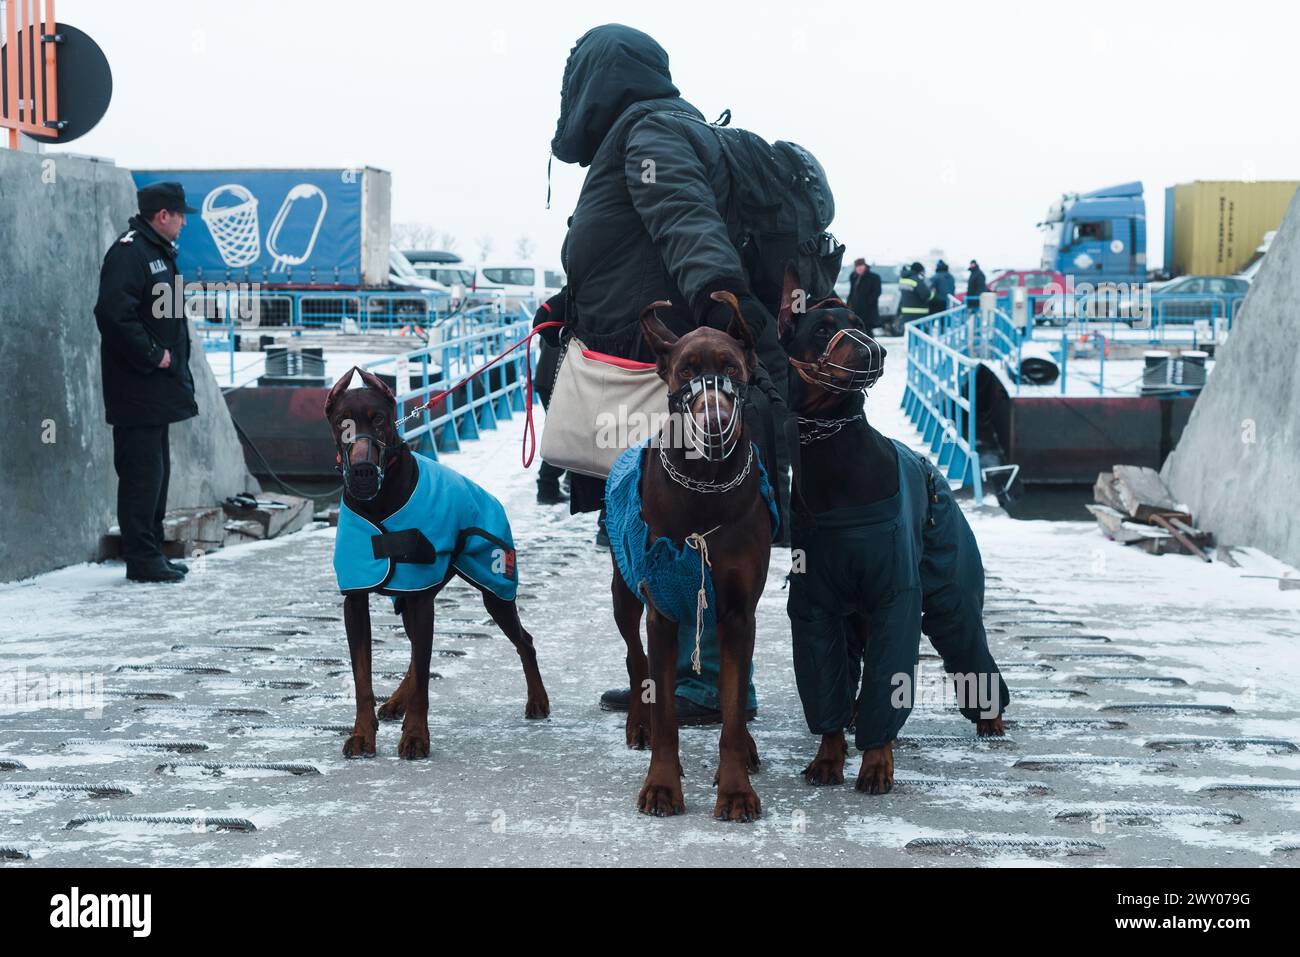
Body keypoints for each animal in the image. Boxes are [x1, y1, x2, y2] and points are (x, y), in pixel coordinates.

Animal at [327, 369, 551, 764]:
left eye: (379, 419)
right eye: (343, 422)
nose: (364, 471)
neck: (379, 504)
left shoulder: (420, 597)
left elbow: (422, 676)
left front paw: (416, 736)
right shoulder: (356, 600)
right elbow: (363, 677)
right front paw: (362, 735)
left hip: (494, 585)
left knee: (524, 640)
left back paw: (537, 699)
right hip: (412, 597)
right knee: (418, 654)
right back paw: (395, 703)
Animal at [605, 293, 774, 821]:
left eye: (732, 368)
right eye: (685, 371)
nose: (715, 422)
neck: (706, 488)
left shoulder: (738, 612)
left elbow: (733, 707)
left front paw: (736, 790)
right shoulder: (661, 606)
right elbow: (664, 709)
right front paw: (661, 785)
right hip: (625, 590)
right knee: (634, 657)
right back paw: (637, 723)